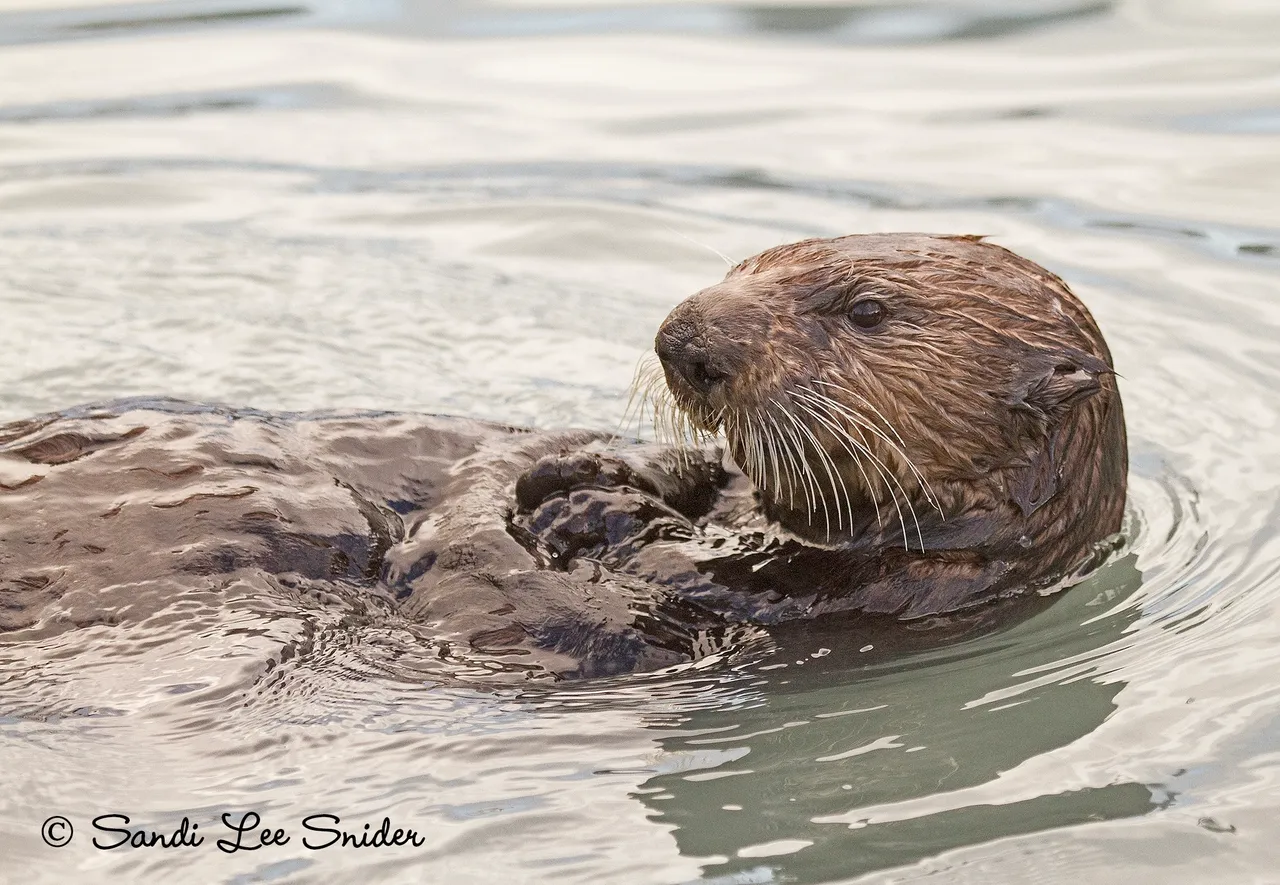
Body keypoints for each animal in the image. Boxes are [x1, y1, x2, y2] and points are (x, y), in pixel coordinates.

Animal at [0, 234, 1125, 681]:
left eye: (867, 310)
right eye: (746, 263)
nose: (684, 336)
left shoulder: (859, 596)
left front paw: (579, 506)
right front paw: (593, 472)